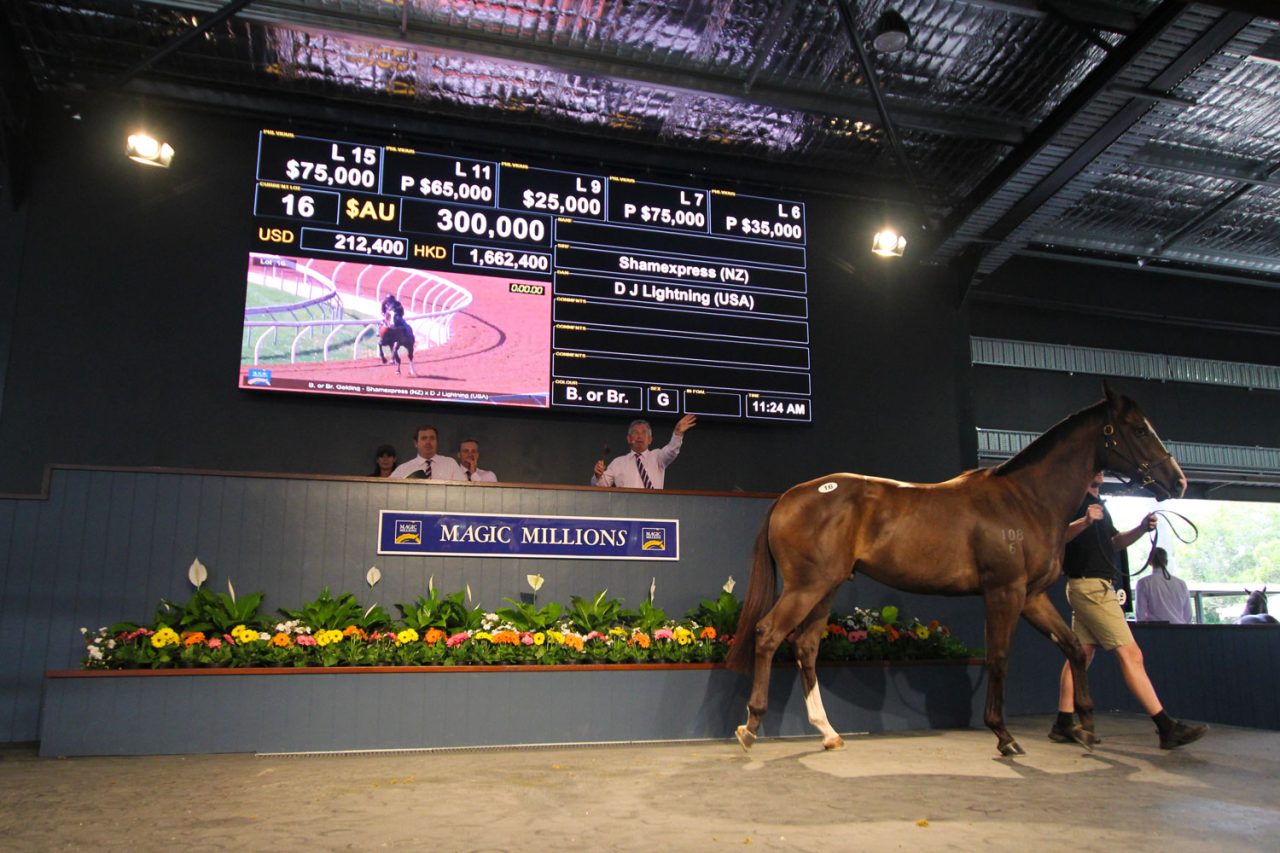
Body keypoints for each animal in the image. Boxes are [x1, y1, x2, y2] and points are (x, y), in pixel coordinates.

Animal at [724, 382, 1186, 756]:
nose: (1178, 481)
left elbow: (1072, 646)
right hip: (807, 586)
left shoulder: (1032, 597)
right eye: (1139, 429)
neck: (1025, 500)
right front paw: (1004, 736)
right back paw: (750, 727)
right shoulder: (1004, 592)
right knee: (768, 635)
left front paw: (1086, 728)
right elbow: (999, 657)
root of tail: (789, 497)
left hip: (827, 588)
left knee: (805, 647)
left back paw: (828, 733)